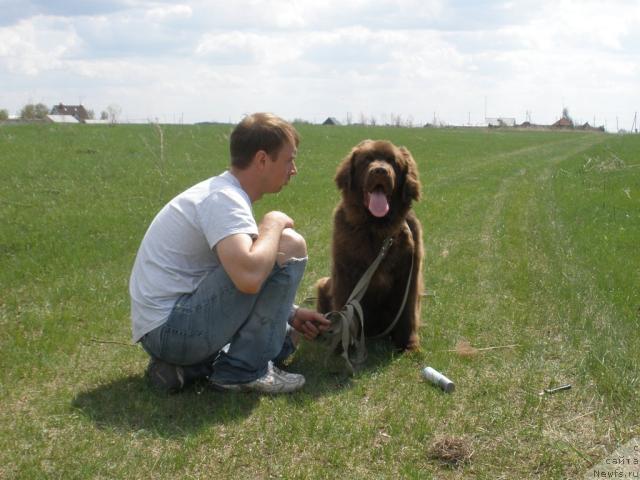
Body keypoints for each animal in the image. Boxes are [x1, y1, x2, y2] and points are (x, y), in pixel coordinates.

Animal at [316, 139, 424, 352]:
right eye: (367, 159)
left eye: (393, 162)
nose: (380, 171)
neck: (377, 228)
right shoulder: (345, 272)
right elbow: (346, 309)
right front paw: (342, 347)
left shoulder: (410, 273)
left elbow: (408, 311)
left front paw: (409, 345)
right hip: (323, 285)